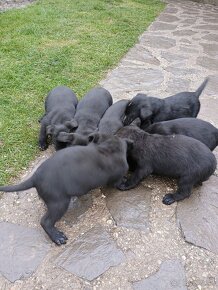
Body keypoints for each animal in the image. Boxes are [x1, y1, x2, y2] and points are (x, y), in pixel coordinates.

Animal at [0, 134, 131, 245]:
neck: (108, 148)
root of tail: (35, 178)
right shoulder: (117, 177)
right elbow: (118, 182)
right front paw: (125, 183)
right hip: (59, 203)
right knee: (45, 221)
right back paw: (57, 237)